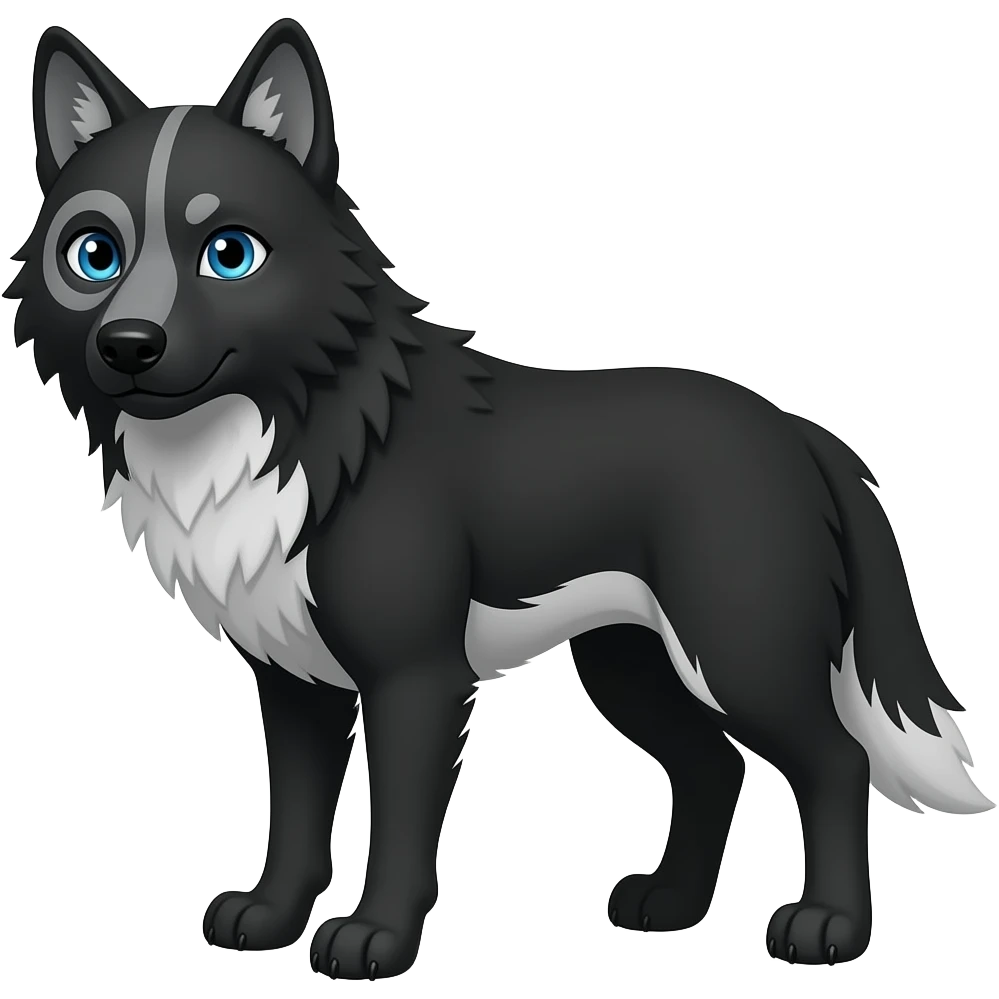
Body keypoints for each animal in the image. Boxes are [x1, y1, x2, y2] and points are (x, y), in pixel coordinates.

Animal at [7, 17, 992, 979]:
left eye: (230, 254)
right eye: (93, 255)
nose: (128, 345)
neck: (287, 425)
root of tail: (799, 430)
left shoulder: (414, 678)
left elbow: (399, 826)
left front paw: (374, 940)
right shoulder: (293, 681)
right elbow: (294, 816)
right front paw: (269, 917)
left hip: (737, 648)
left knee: (835, 759)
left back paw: (828, 927)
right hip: (630, 662)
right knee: (713, 767)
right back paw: (669, 907)